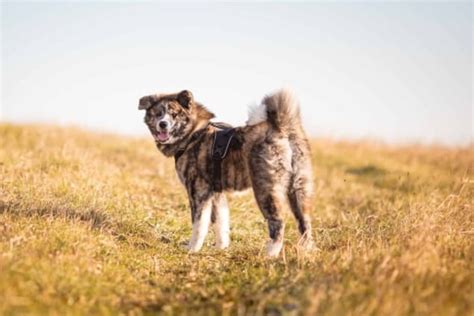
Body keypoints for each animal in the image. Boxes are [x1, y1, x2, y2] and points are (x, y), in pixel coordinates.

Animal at [138, 89, 314, 256]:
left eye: (174, 115)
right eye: (158, 114)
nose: (163, 124)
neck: (193, 134)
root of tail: (281, 127)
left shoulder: (198, 192)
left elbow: (199, 225)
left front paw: (192, 249)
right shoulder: (216, 193)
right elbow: (221, 223)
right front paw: (221, 248)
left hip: (265, 190)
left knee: (278, 223)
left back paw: (270, 254)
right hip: (298, 191)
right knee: (305, 224)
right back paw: (307, 251)